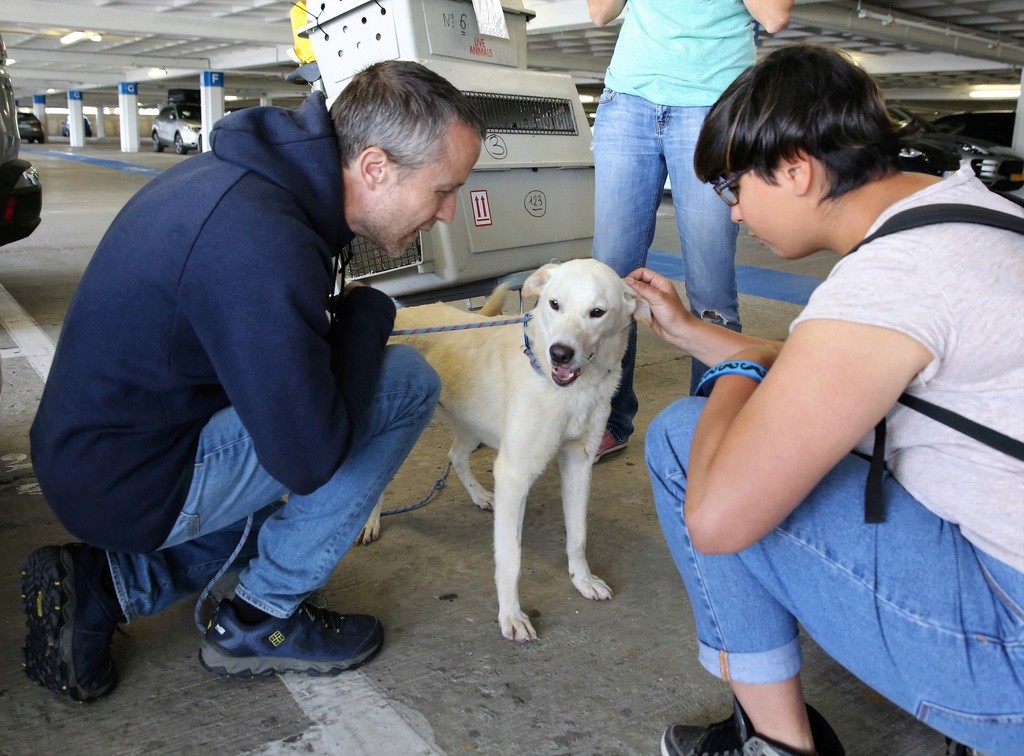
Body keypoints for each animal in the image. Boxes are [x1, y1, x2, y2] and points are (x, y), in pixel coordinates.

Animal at [360, 258, 647, 635]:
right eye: (554, 304)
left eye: (597, 312)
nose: (560, 354)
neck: (568, 390)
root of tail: (401, 314)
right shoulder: (514, 474)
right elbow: (511, 558)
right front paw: (511, 616)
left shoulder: (578, 462)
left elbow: (578, 535)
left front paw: (582, 580)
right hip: (403, 428)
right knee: (379, 477)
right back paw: (370, 522)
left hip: (471, 424)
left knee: (455, 455)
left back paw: (480, 496)